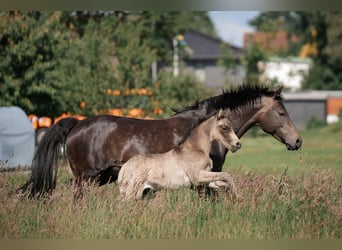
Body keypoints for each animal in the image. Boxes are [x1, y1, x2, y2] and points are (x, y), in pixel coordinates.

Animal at [18, 84, 302, 197]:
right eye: (281, 113)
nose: (297, 141)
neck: (203, 132)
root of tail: (77, 124)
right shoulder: (203, 175)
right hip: (85, 179)